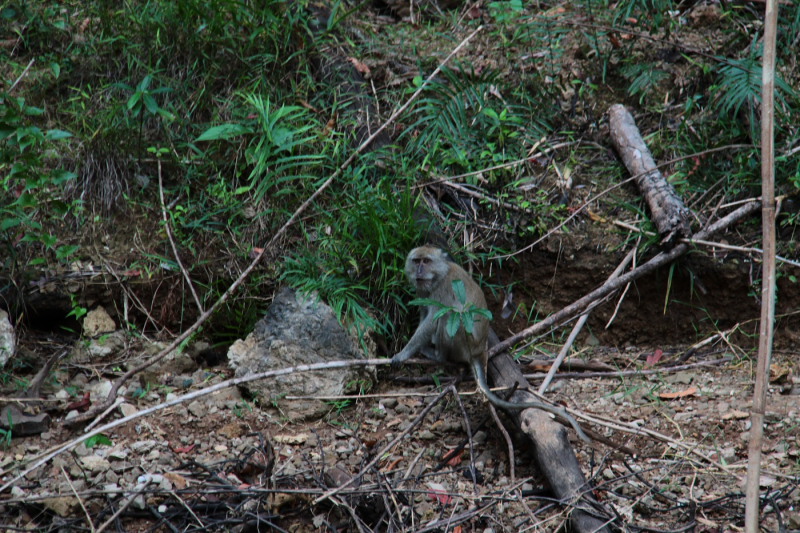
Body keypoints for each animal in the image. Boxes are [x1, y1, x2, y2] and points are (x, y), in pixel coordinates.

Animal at [392, 245, 588, 440]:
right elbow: (424, 315)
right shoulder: (422, 292)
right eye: (416, 261)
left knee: (450, 314)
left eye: (426, 261)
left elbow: (432, 320)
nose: (419, 271)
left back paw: (437, 355)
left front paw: (403, 354)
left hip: (462, 344)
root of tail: (479, 351)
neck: (439, 275)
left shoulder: (442, 290)